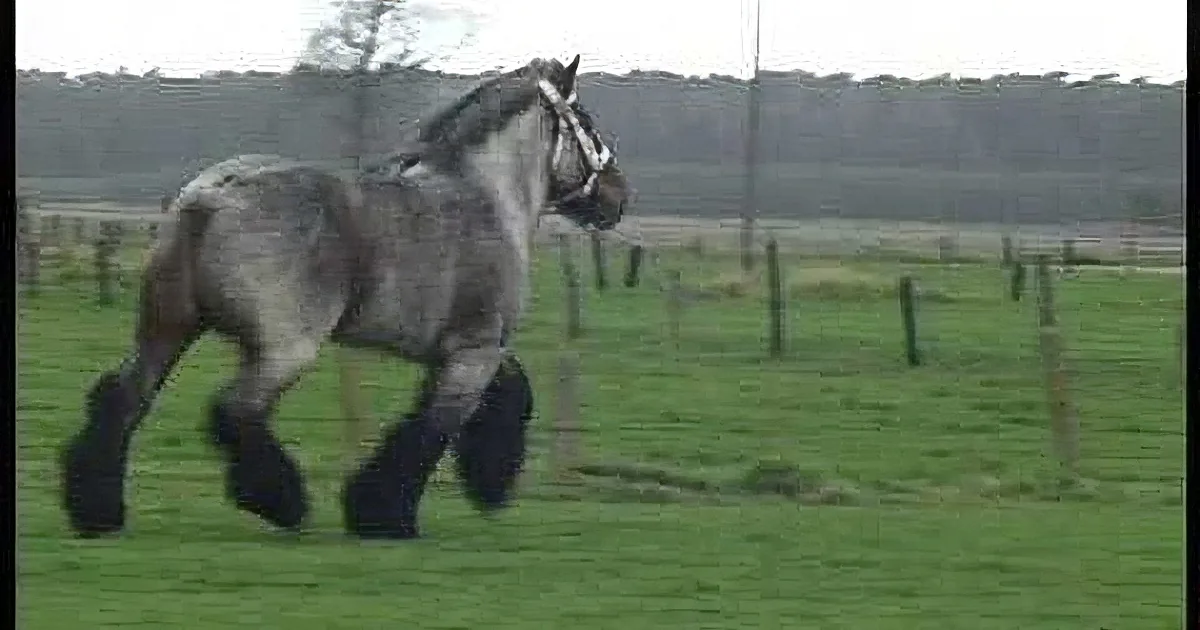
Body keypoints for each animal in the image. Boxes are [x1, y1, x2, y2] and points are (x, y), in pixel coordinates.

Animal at [60, 55, 631, 540]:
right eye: (586, 122)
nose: (618, 197)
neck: (484, 199)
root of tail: (212, 195)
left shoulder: (460, 351)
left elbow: (510, 395)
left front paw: (485, 483)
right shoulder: (475, 351)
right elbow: (432, 430)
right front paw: (387, 514)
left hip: (168, 330)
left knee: (123, 397)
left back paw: (97, 512)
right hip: (285, 350)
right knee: (235, 411)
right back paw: (283, 503)